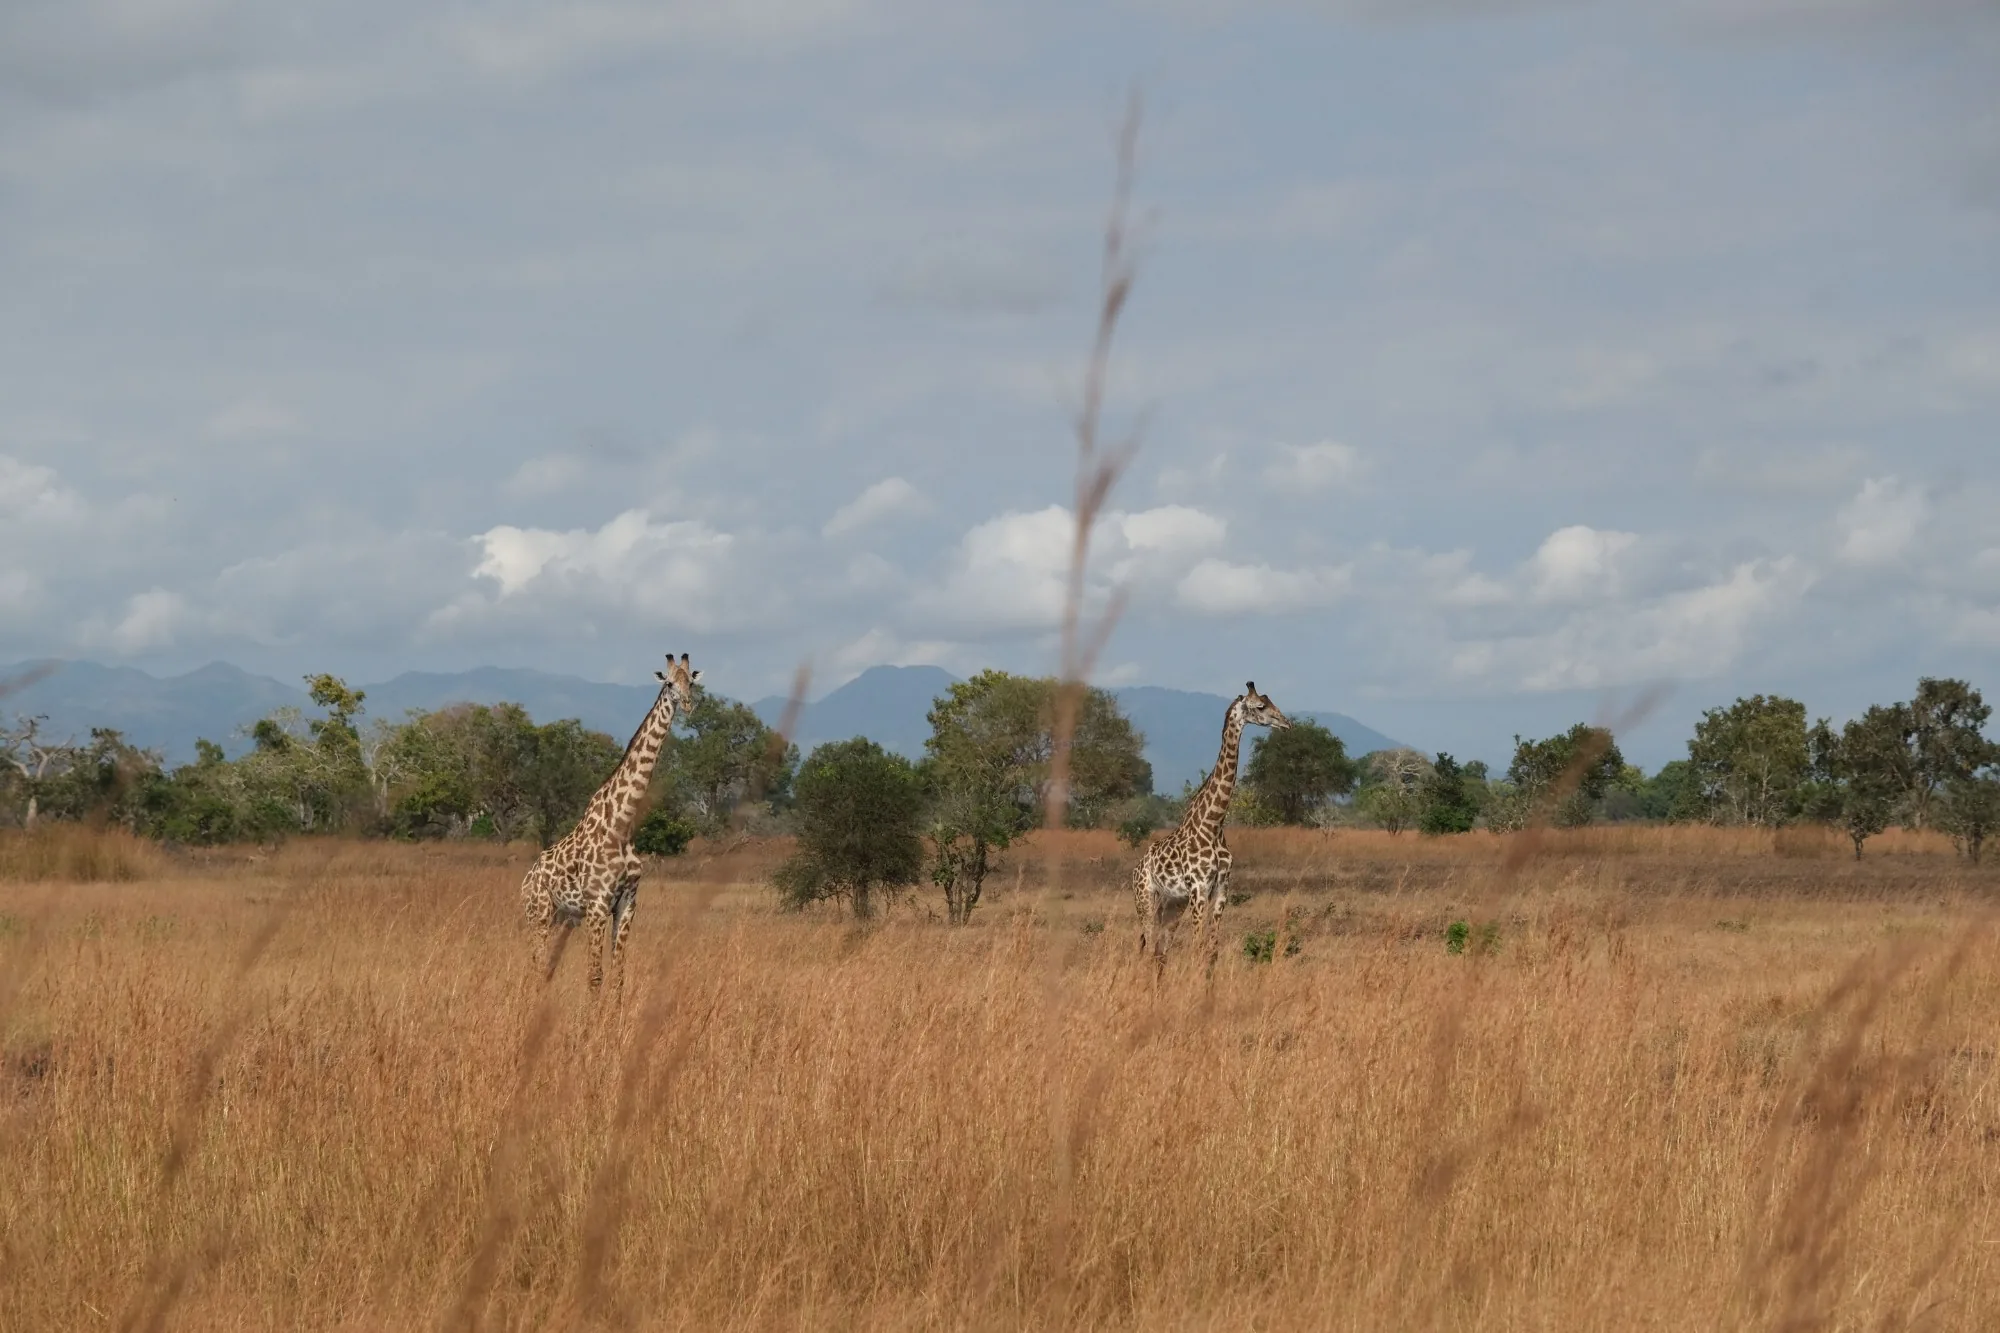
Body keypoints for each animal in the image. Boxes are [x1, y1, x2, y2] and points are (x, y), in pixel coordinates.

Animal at [519, 651, 702, 993]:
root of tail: (526, 878)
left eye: (691, 683)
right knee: (534, 967)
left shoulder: (627, 903)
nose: (686, 704)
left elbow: (618, 976)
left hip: (564, 916)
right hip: (538, 913)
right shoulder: (598, 903)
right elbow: (595, 976)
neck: (622, 822)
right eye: (669, 683)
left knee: (546, 967)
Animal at [1132, 682, 1292, 970]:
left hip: (1172, 903)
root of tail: (1136, 868)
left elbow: (1212, 951)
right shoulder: (1198, 888)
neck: (1213, 824)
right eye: (1261, 706)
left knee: (1161, 951)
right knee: (1148, 947)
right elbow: (1197, 948)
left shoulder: (1220, 889)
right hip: (1145, 898)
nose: (1286, 723)